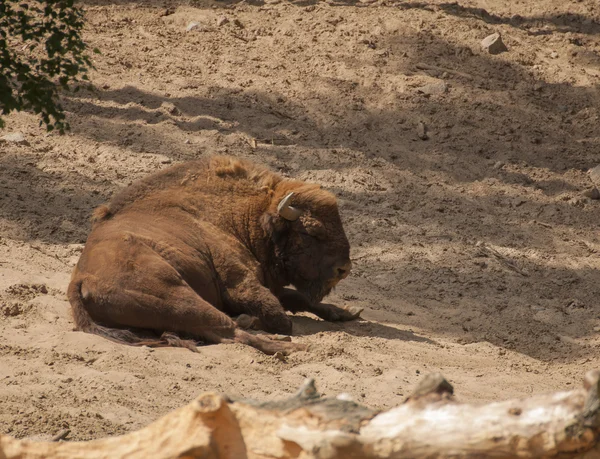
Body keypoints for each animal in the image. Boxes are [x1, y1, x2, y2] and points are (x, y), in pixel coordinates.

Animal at [69, 155, 360, 356]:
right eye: (312, 231)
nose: (343, 269)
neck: (244, 216)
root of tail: (80, 279)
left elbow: (300, 299)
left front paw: (346, 312)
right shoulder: (242, 285)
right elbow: (280, 316)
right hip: (176, 296)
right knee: (231, 331)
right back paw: (292, 347)